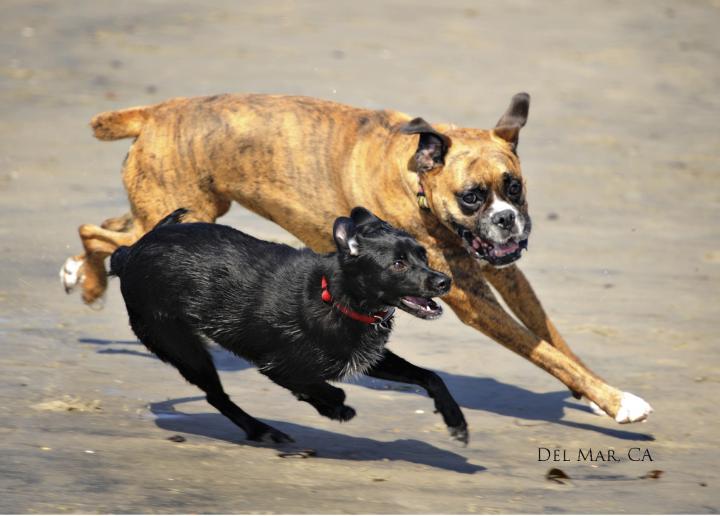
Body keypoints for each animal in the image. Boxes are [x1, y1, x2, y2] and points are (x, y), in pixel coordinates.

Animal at [107, 208, 466, 446]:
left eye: (423, 255)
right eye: (398, 263)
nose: (444, 281)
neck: (334, 295)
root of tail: (130, 252)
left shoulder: (364, 357)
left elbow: (430, 377)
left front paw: (457, 422)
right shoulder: (278, 366)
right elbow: (325, 387)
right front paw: (333, 408)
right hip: (182, 347)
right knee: (216, 397)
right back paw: (262, 429)